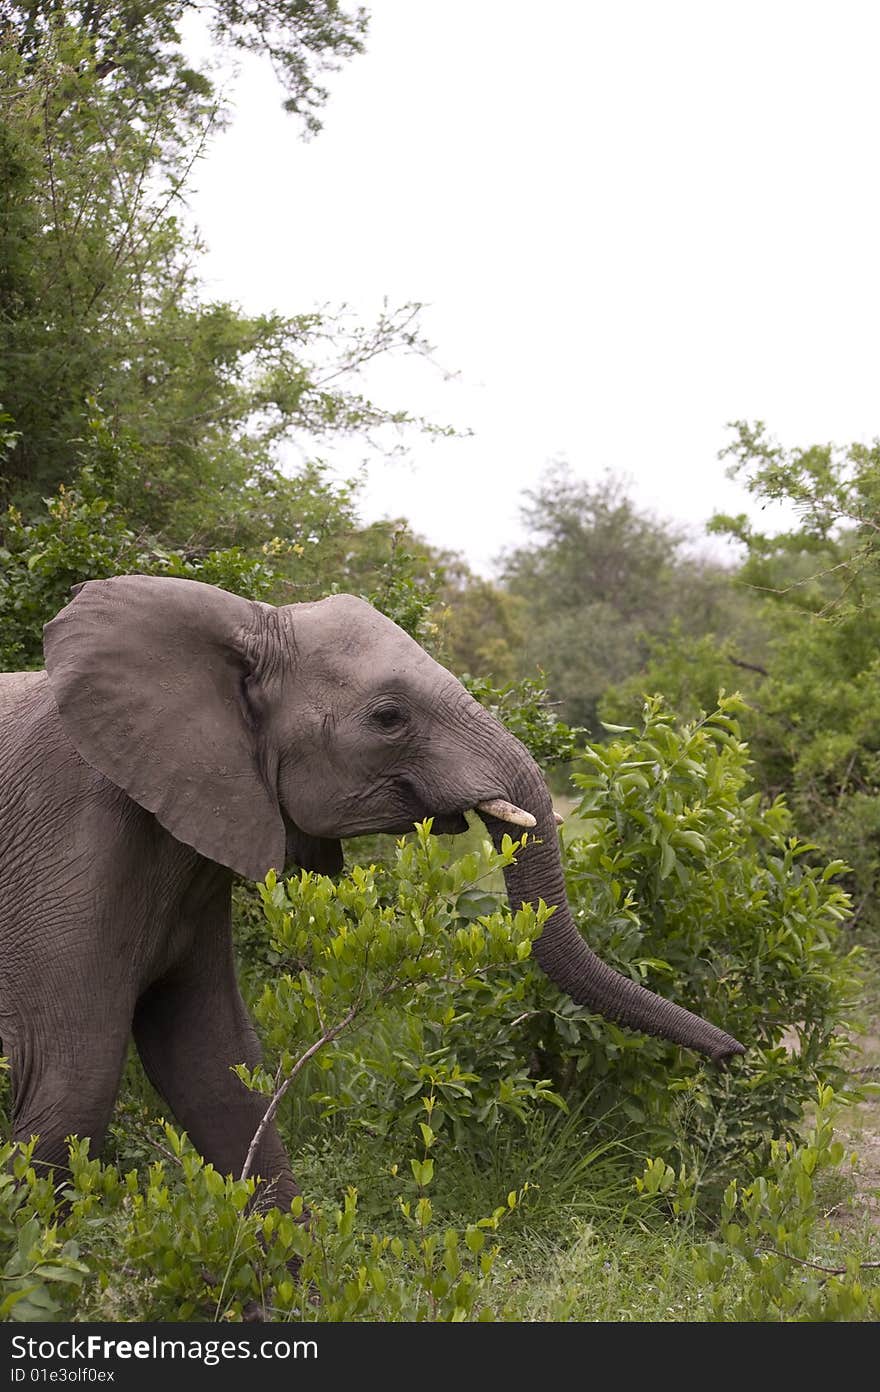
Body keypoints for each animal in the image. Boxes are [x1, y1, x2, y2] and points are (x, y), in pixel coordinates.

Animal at [0, 570, 740, 1213]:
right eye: (388, 718)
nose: (733, 1057)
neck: (245, 625)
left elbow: (218, 1068)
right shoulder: (71, 841)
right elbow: (71, 1088)